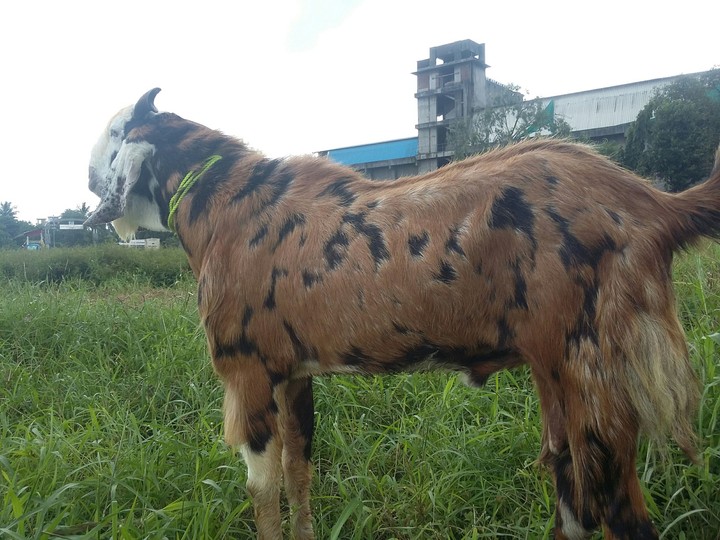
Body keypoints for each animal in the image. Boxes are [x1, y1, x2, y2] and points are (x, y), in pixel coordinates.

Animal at [85, 88, 717, 539]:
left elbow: (262, 489)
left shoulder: (248, 371)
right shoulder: (293, 373)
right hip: (558, 372)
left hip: (596, 364)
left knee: (619, 511)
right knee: (573, 495)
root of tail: (655, 204)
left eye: (116, 134)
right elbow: (298, 469)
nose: (89, 178)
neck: (228, 203)